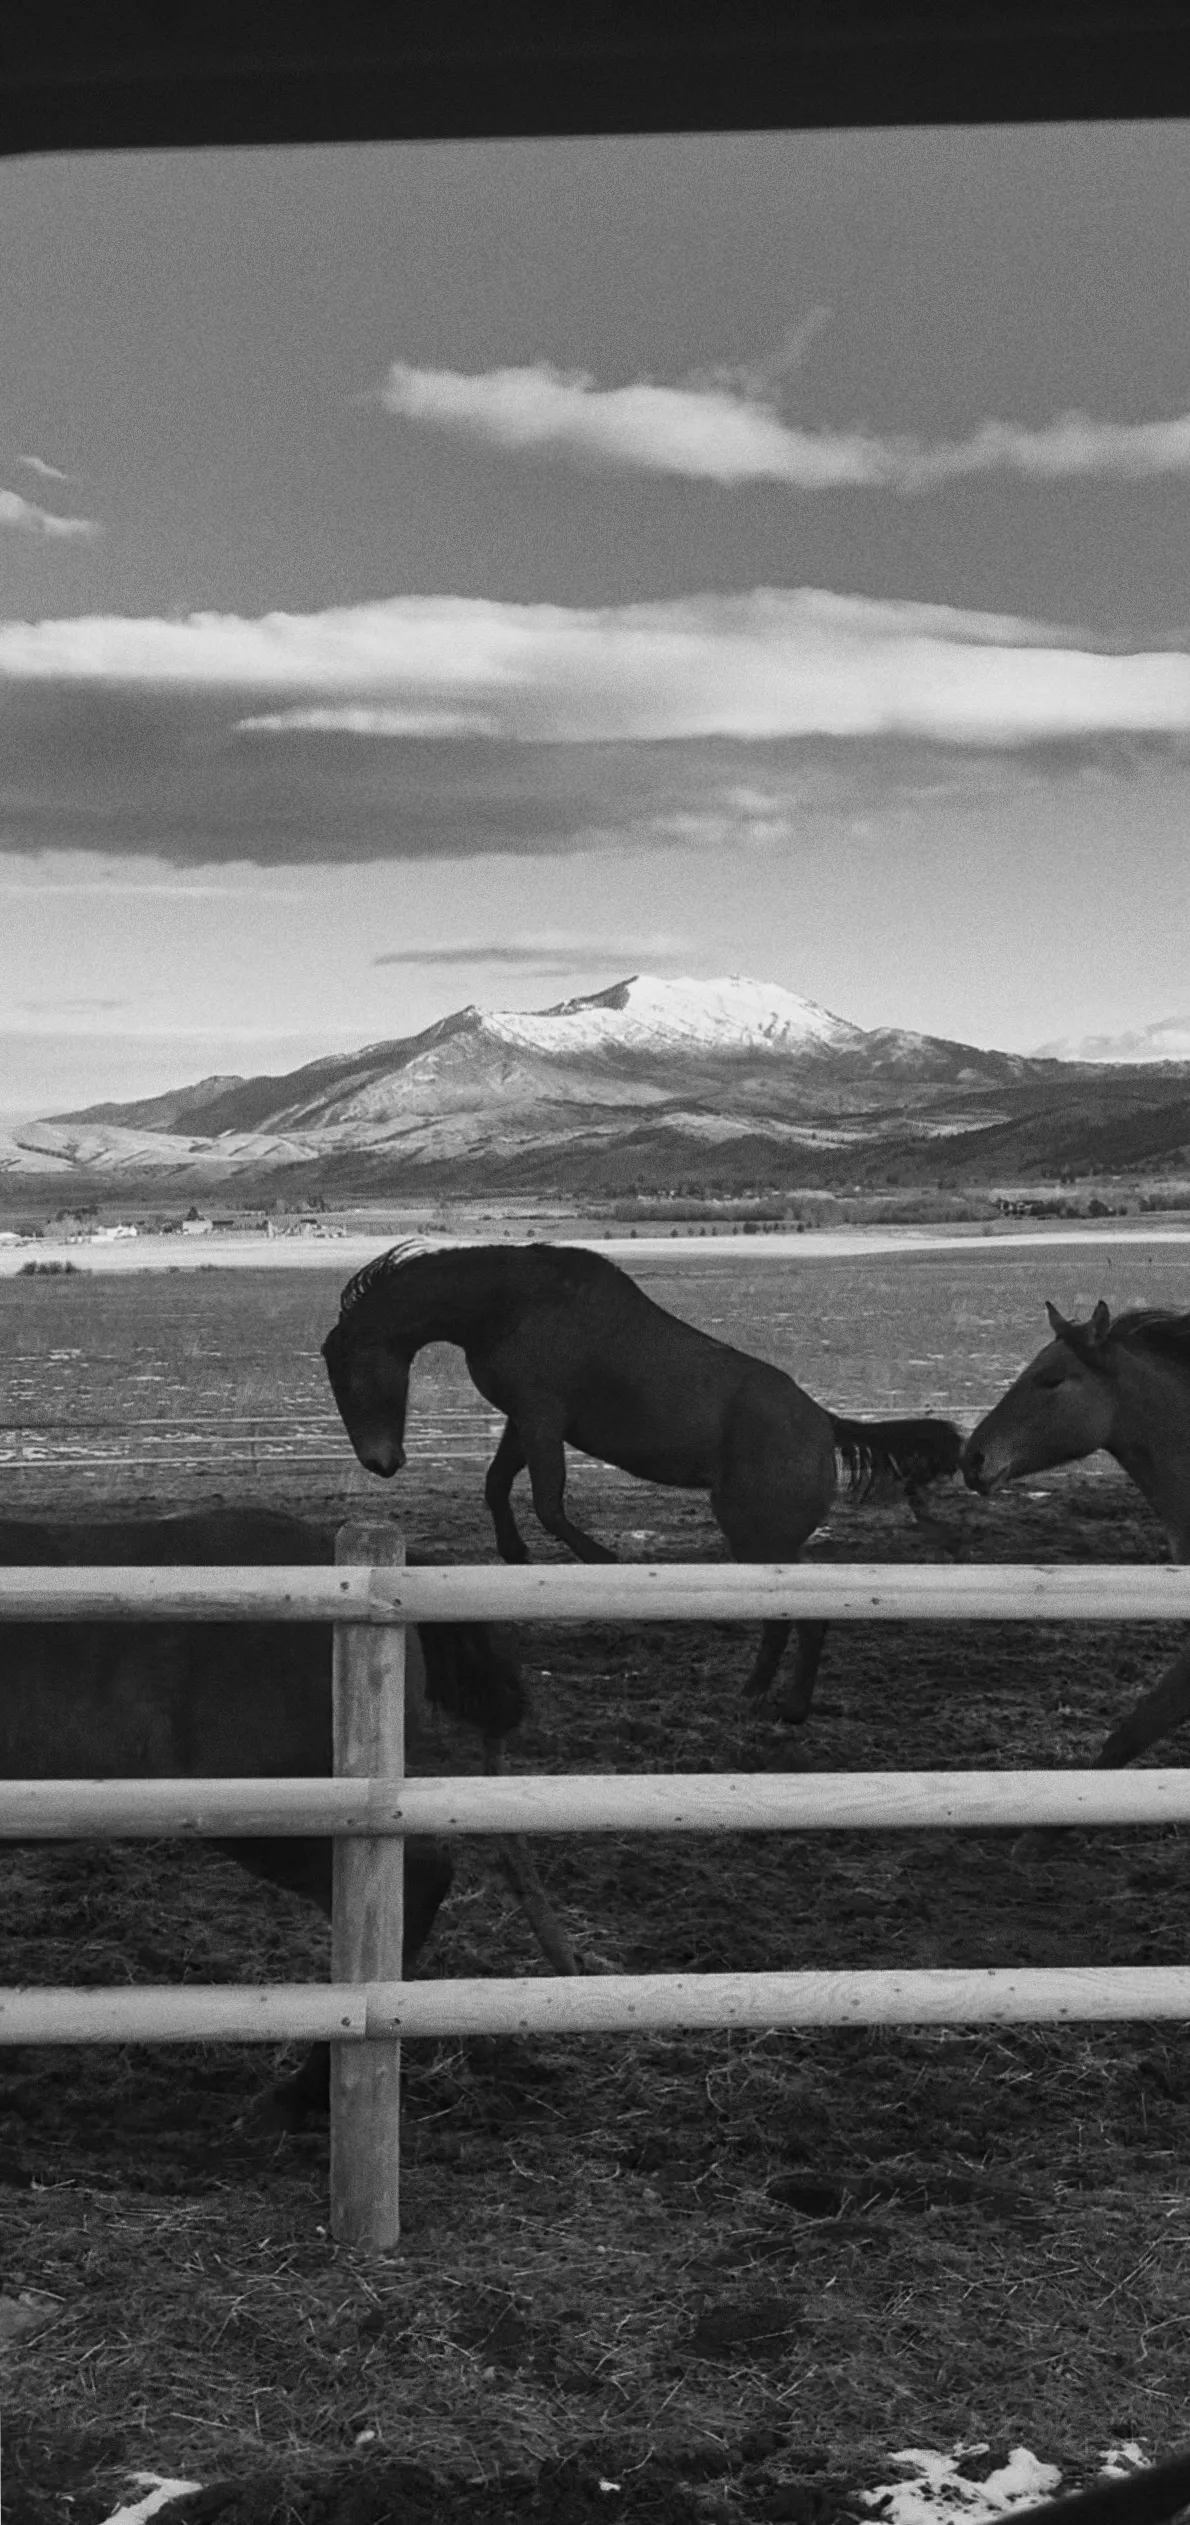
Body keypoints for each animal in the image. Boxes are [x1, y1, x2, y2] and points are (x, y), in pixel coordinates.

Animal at [321, 1240, 962, 1718]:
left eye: (350, 1375)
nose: (381, 1462)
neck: (507, 1303)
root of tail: (825, 1425)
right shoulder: (524, 1418)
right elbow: (498, 1484)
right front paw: (514, 1552)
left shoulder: (543, 1416)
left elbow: (549, 1503)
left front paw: (610, 1567)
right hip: (759, 1544)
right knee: (781, 1618)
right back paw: (756, 1693)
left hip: (760, 1536)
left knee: (806, 1616)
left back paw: (791, 1707)